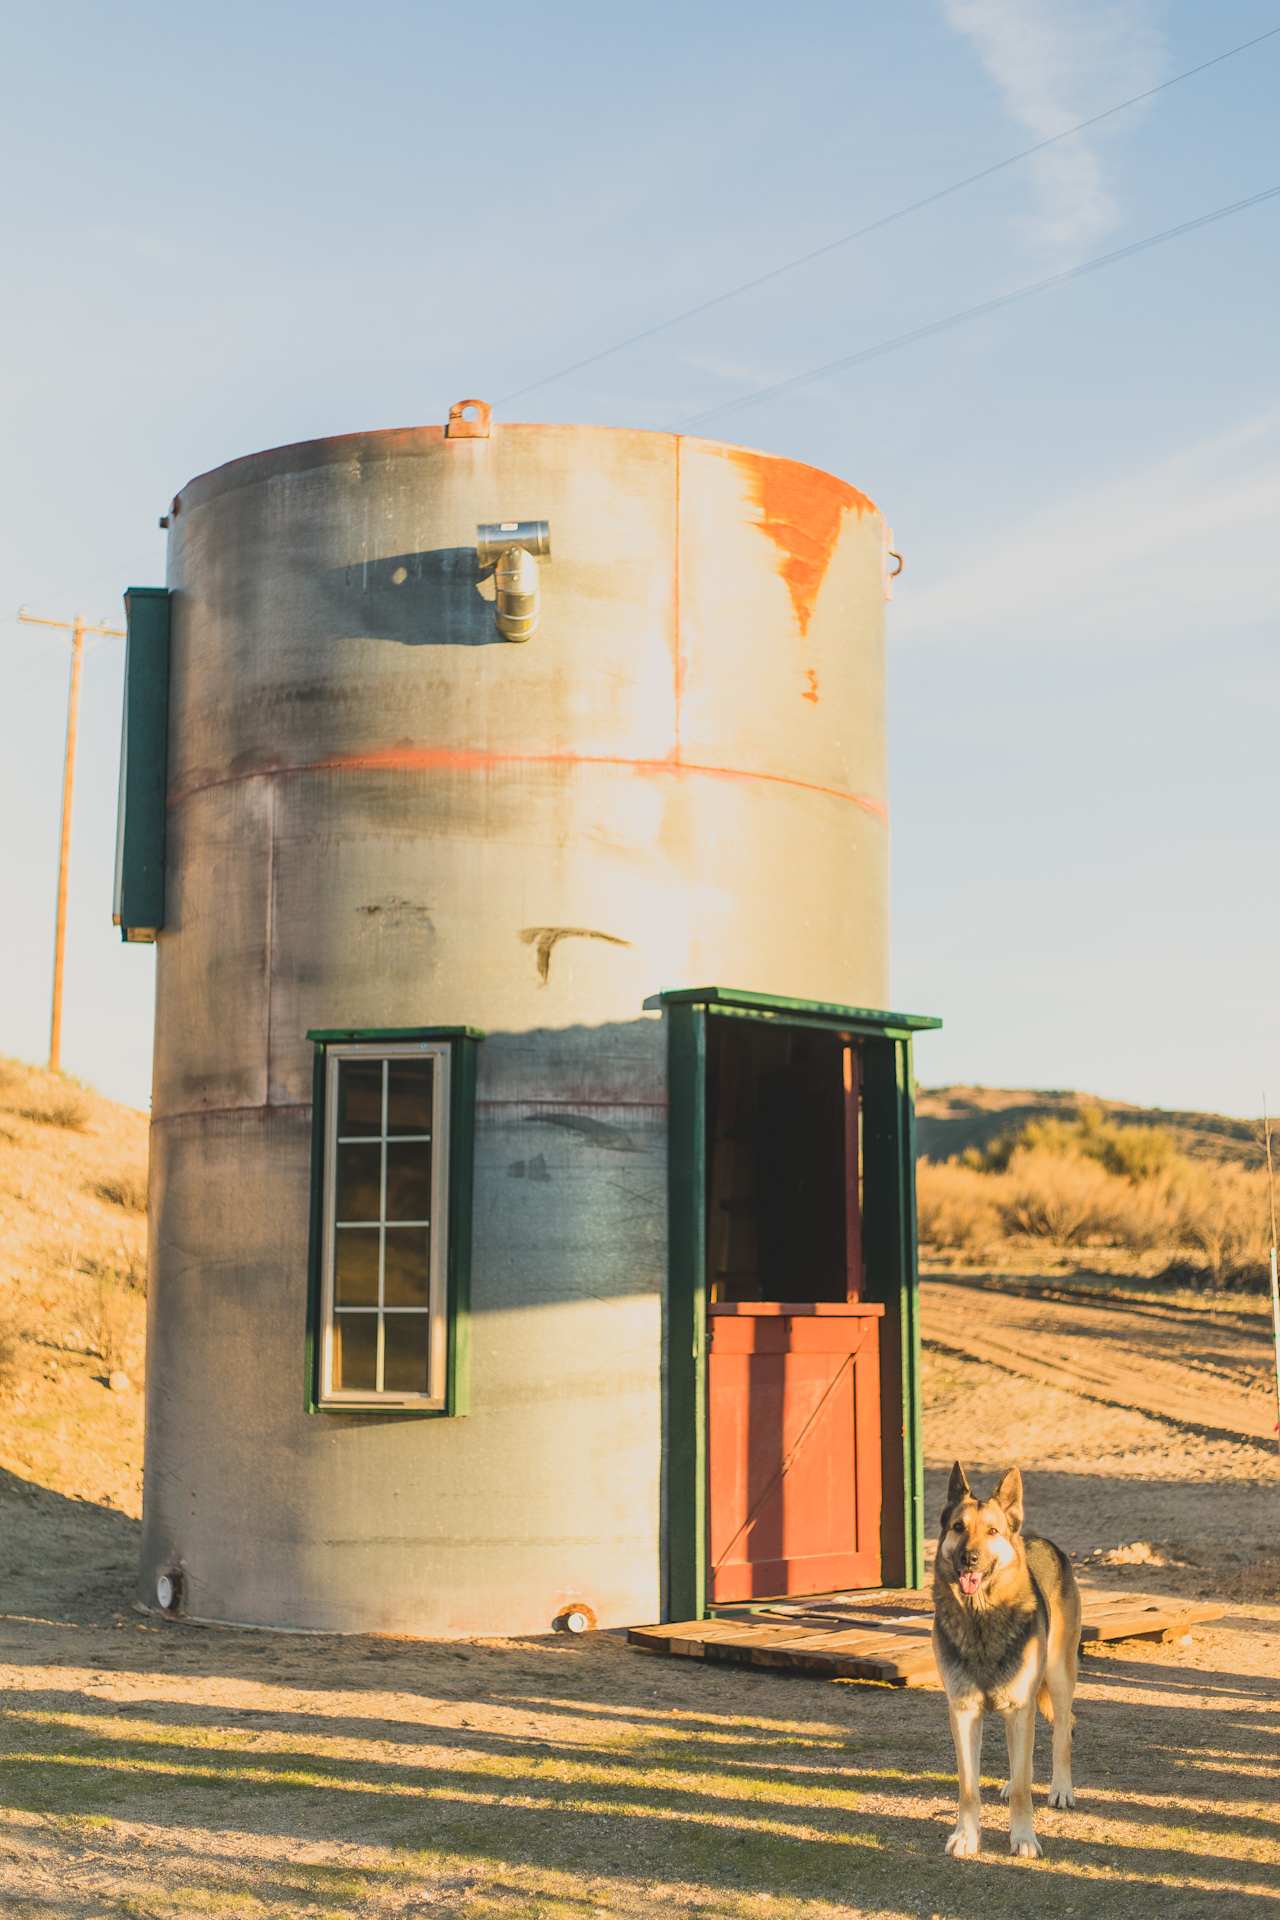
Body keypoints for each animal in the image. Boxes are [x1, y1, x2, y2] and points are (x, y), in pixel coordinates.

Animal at [932, 1459, 1082, 1850]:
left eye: (992, 1531)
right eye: (959, 1527)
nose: (969, 1558)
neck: (981, 1620)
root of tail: (1038, 1539)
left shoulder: (1019, 1708)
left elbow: (1024, 1789)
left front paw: (1024, 1837)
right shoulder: (965, 1711)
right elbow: (969, 1787)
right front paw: (965, 1837)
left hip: (1058, 1678)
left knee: (1062, 1732)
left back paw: (1061, 1788)